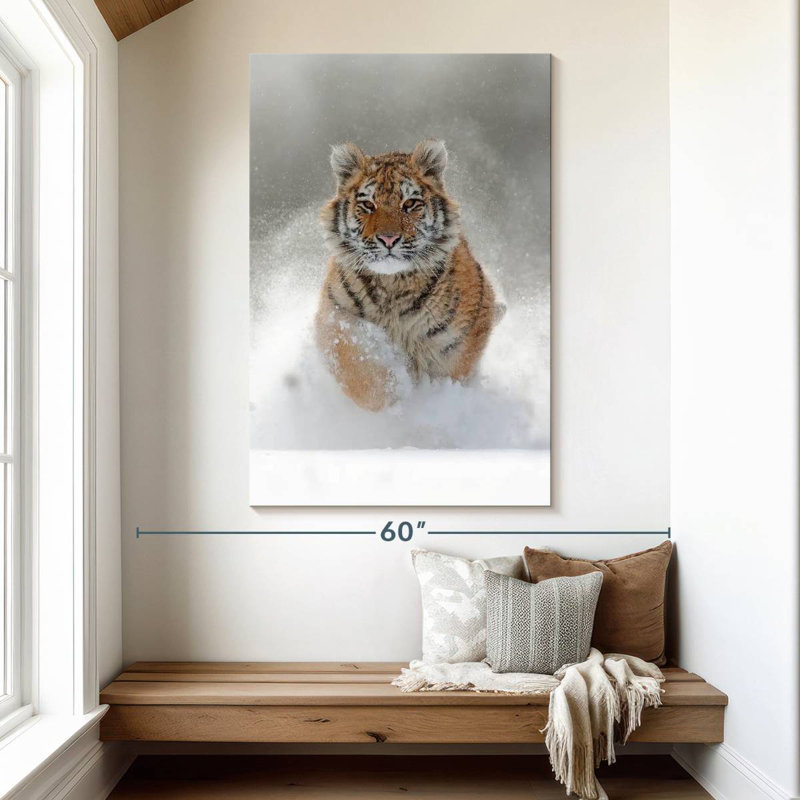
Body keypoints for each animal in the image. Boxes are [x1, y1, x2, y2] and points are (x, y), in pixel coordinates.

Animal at [315, 139, 503, 412]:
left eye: (410, 204)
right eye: (368, 205)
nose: (388, 239)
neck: (392, 285)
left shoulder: (457, 342)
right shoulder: (335, 316)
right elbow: (359, 368)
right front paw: (391, 398)